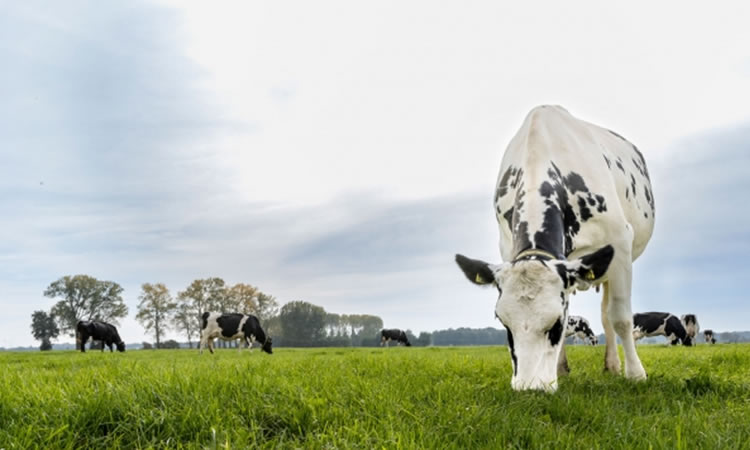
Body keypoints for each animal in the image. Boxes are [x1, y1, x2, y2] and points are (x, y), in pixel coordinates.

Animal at [456, 104, 656, 390]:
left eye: (556, 324)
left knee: (607, 316)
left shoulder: (619, 243)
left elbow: (621, 317)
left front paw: (636, 374)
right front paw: (558, 371)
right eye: (504, 323)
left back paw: (614, 365)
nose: (529, 387)